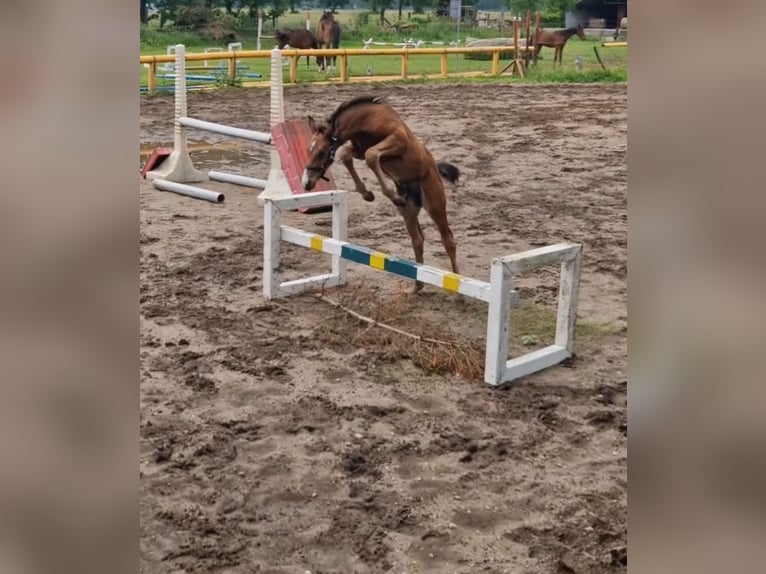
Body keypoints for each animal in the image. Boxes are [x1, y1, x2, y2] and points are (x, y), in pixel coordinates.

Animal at [304, 96, 462, 292]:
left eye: (322, 152)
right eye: (308, 150)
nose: (307, 183)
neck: (368, 119)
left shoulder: (397, 141)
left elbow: (372, 156)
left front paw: (388, 194)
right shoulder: (358, 150)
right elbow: (346, 154)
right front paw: (367, 193)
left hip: (434, 204)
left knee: (448, 239)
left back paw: (457, 284)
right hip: (409, 210)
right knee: (417, 239)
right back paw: (417, 286)